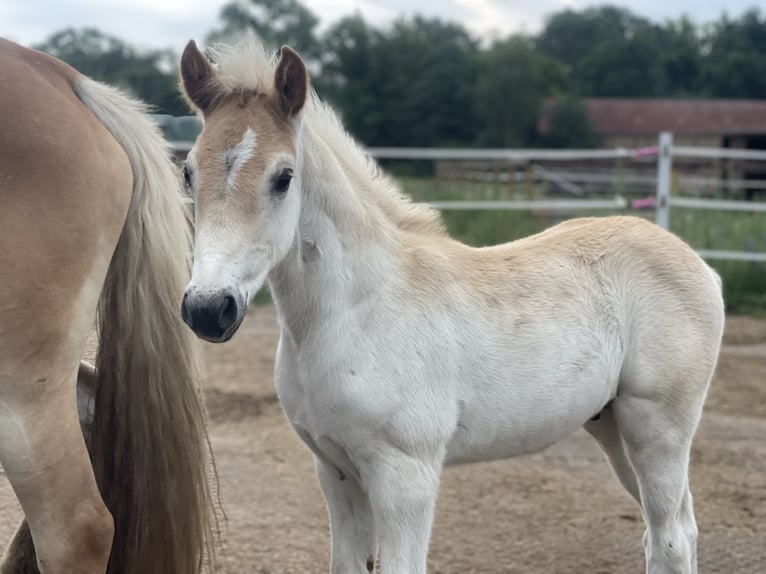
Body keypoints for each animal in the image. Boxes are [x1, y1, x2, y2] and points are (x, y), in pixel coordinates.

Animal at [178, 41, 728, 574]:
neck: (354, 313)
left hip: (658, 430)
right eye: (187, 172)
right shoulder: (335, 469)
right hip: (611, 426)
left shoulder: (406, 474)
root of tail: (699, 264)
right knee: (678, 528)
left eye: (284, 177)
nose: (208, 308)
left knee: (671, 539)